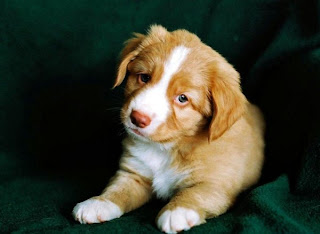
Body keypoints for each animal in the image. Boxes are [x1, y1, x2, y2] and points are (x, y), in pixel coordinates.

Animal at [72, 24, 264, 233]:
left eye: (182, 98)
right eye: (144, 77)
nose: (138, 118)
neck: (165, 148)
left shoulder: (217, 184)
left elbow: (195, 193)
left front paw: (177, 211)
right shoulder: (134, 173)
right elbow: (117, 189)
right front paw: (98, 203)